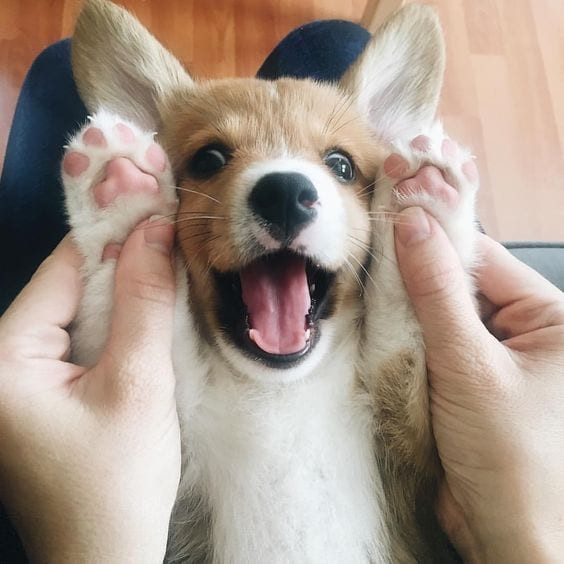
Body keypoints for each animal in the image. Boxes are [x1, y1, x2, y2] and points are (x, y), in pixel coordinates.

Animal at [64, 1, 478, 560]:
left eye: (341, 165)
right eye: (209, 159)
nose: (284, 193)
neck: (278, 395)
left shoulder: (411, 454)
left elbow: (400, 322)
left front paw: (424, 195)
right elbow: (120, 303)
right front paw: (120, 197)